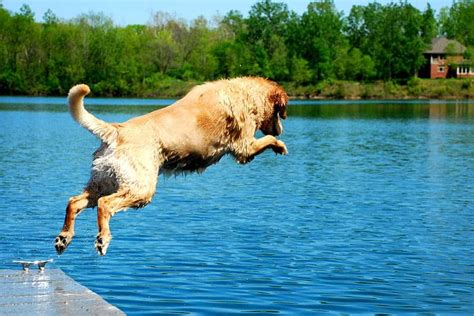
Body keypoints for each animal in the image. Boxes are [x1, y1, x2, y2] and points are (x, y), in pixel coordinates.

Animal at [53, 77, 286, 256]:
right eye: (280, 112)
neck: (246, 93)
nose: (282, 130)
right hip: (140, 188)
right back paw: (103, 239)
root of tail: (116, 131)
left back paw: (64, 237)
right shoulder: (244, 147)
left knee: (74, 202)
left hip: (104, 180)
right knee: (105, 205)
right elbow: (267, 140)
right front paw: (280, 146)